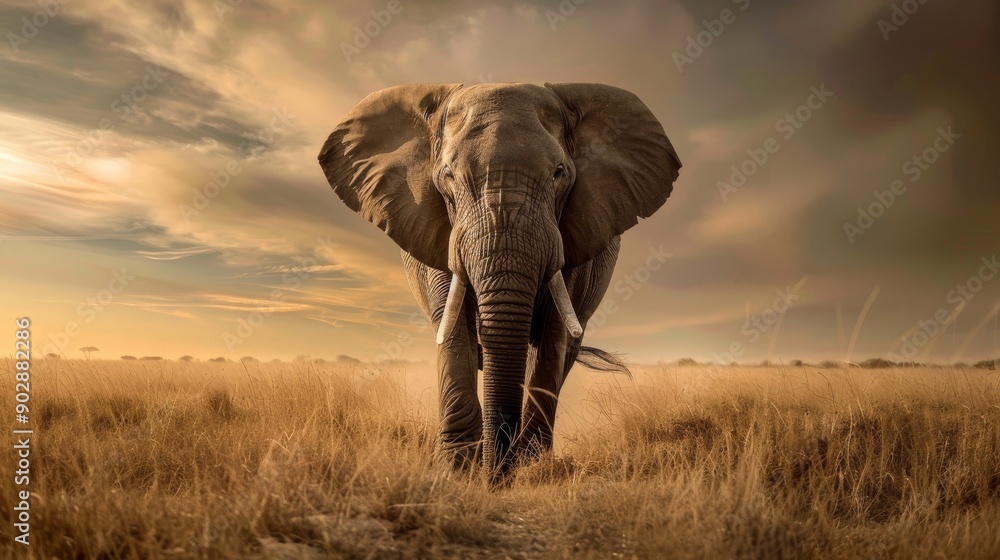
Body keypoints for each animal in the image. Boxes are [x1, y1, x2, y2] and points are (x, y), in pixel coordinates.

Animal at [318, 82, 681, 482]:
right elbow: (453, 322)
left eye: (559, 173)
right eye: (447, 175)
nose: (495, 475)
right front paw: (459, 469)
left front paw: (530, 468)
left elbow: (554, 332)